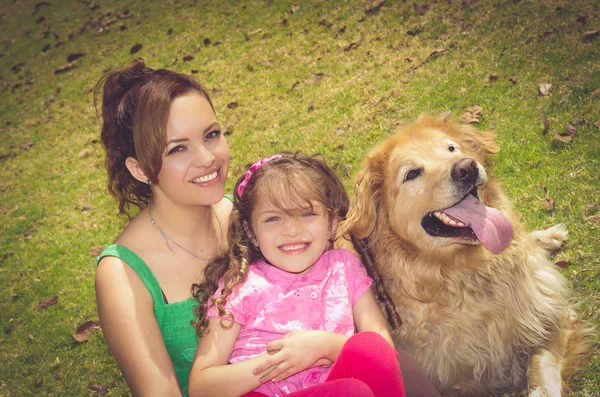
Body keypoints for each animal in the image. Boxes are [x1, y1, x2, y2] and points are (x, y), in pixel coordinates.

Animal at [342, 113, 596, 396]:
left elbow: (540, 374)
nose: (467, 167)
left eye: (452, 149)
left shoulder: (552, 318)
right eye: (411, 174)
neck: (464, 275)